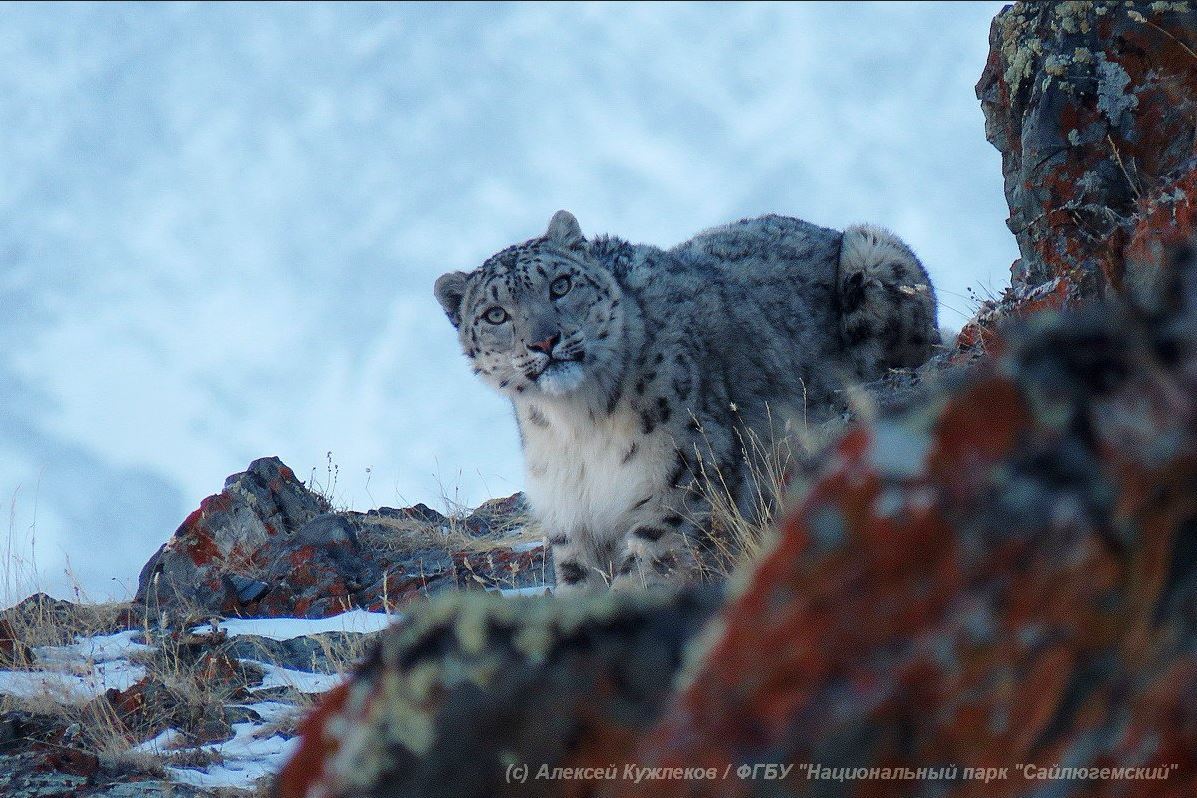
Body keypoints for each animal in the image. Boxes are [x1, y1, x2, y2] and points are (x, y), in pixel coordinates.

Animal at [435, 209, 938, 595]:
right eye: (495, 314)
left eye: (560, 285)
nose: (544, 340)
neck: (577, 425)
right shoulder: (569, 516)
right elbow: (578, 584)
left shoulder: (684, 483)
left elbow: (645, 570)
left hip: (873, 251)